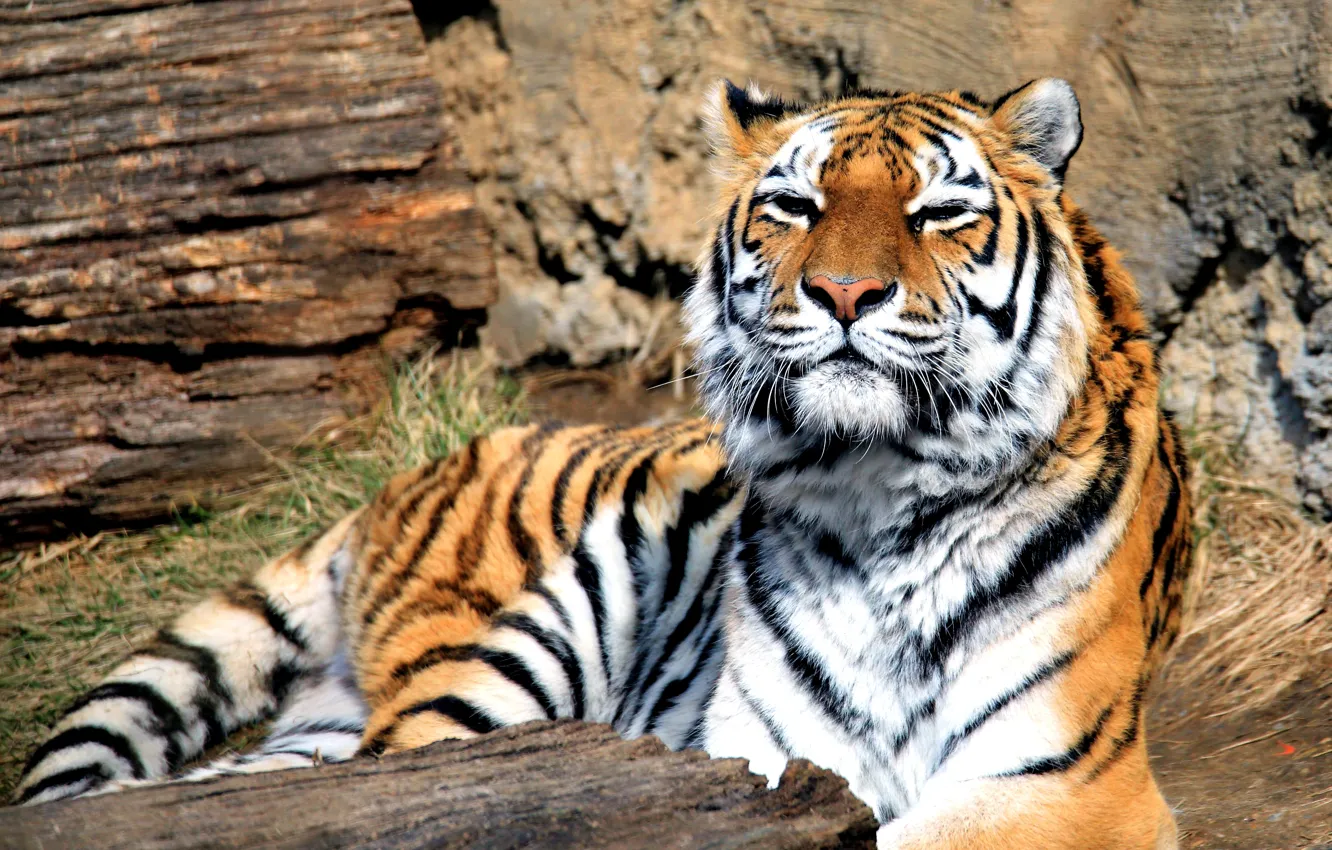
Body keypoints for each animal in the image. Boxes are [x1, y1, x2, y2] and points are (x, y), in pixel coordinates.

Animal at [14, 78, 1193, 850]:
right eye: (796, 205)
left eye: (940, 212)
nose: (844, 294)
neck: (876, 491)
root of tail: (422, 470)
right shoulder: (760, 755)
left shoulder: (1062, 783)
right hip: (518, 650)